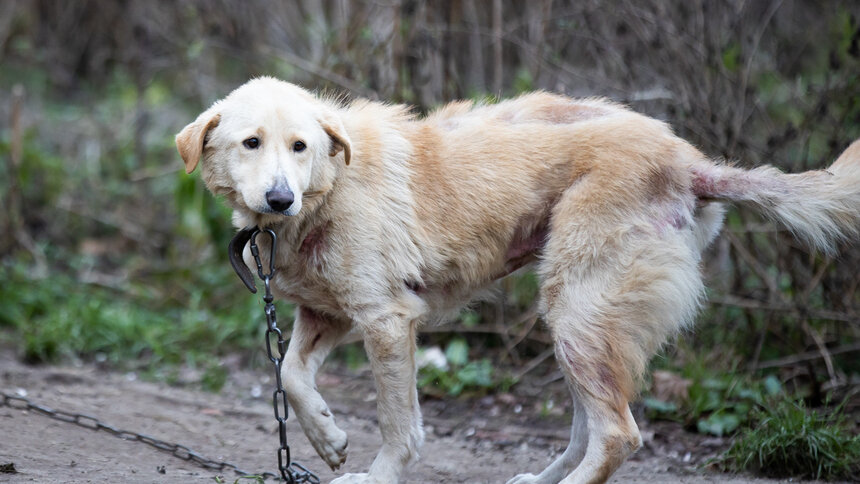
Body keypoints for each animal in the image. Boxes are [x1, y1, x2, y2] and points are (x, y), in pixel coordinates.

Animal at [176, 77, 860, 482]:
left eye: (299, 146)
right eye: (251, 143)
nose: (279, 198)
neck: (330, 187)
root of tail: (691, 162)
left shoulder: (387, 320)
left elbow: (399, 424)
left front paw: (374, 472)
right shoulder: (330, 315)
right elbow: (292, 377)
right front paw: (328, 440)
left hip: (576, 310)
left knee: (620, 434)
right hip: (583, 323)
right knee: (592, 426)